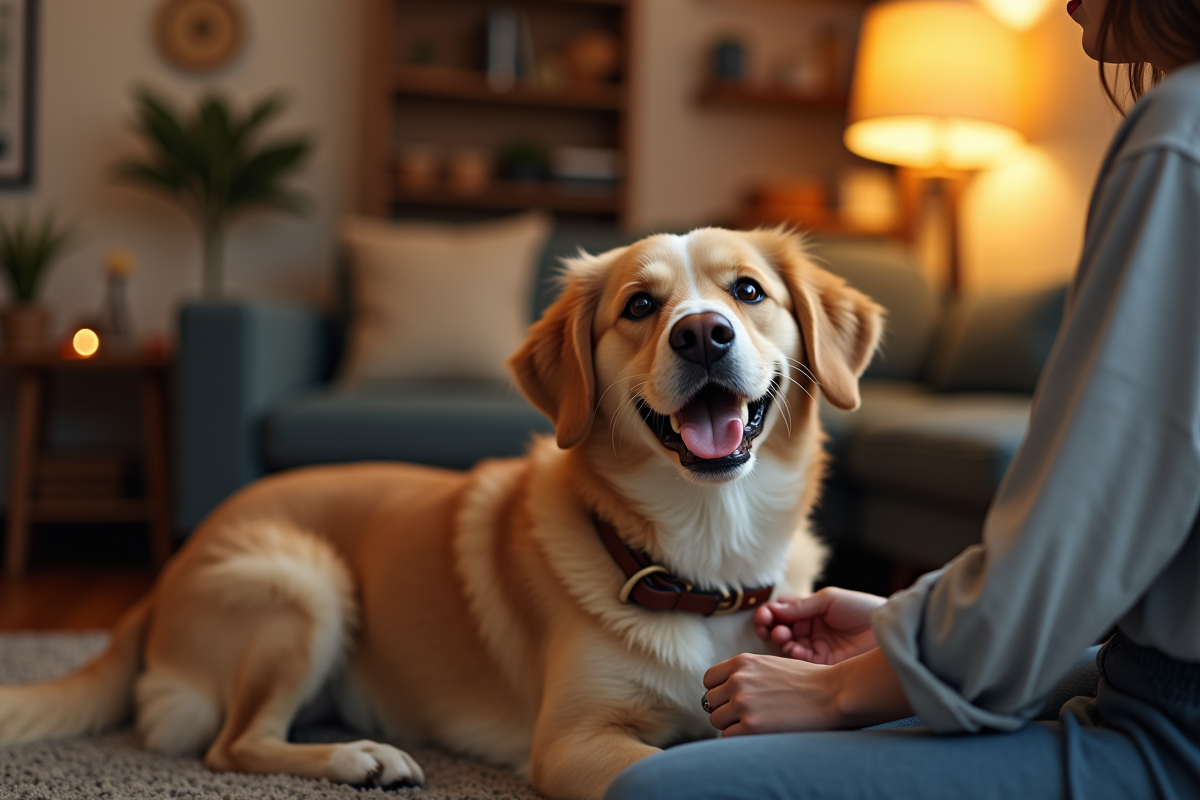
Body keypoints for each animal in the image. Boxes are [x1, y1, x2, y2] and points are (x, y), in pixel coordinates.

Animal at [0, 225, 883, 800]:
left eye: (748, 291)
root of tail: (164, 578)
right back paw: (364, 759)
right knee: (231, 745)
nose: (703, 334)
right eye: (639, 306)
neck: (706, 556)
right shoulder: (572, 741)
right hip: (303, 582)